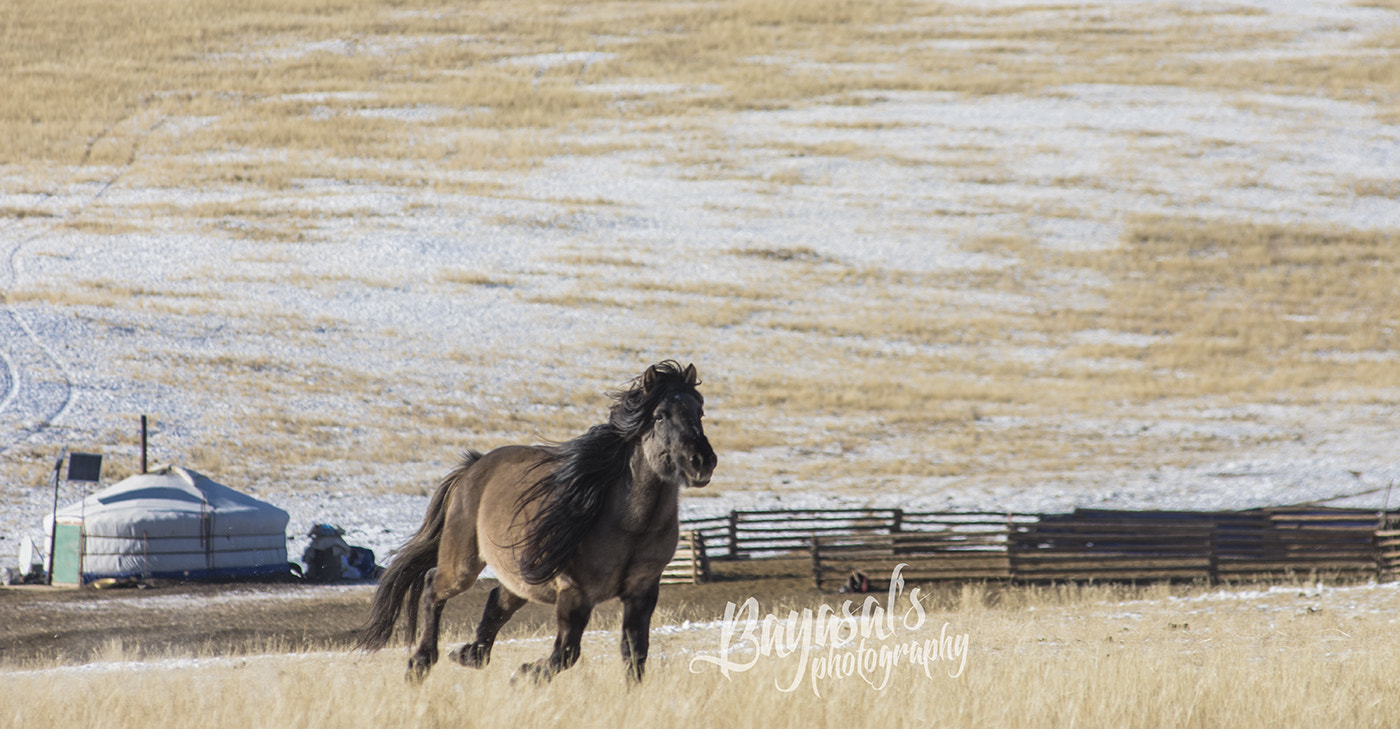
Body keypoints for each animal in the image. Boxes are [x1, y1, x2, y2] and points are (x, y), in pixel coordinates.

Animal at [356, 361, 716, 685]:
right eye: (660, 415)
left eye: (699, 411)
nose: (702, 461)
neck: (631, 527)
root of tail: (473, 468)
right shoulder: (575, 594)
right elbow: (566, 653)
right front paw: (525, 675)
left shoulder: (642, 593)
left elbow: (634, 655)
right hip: (463, 565)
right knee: (433, 586)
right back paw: (420, 663)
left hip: (519, 575)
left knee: (496, 602)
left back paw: (470, 654)